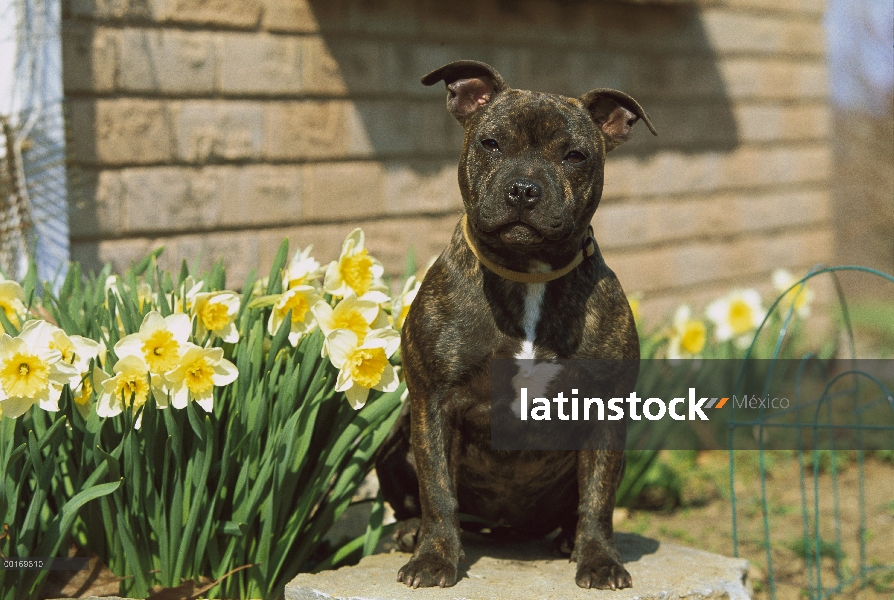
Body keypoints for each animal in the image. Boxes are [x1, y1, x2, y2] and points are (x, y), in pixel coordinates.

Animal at [372, 59, 656, 592]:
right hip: (395, 439)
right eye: (491, 143)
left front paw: (599, 559)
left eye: (574, 155)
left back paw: (567, 539)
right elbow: (438, 490)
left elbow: (598, 496)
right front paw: (434, 558)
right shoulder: (435, 401)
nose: (524, 189)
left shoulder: (606, 411)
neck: (528, 274)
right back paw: (410, 531)